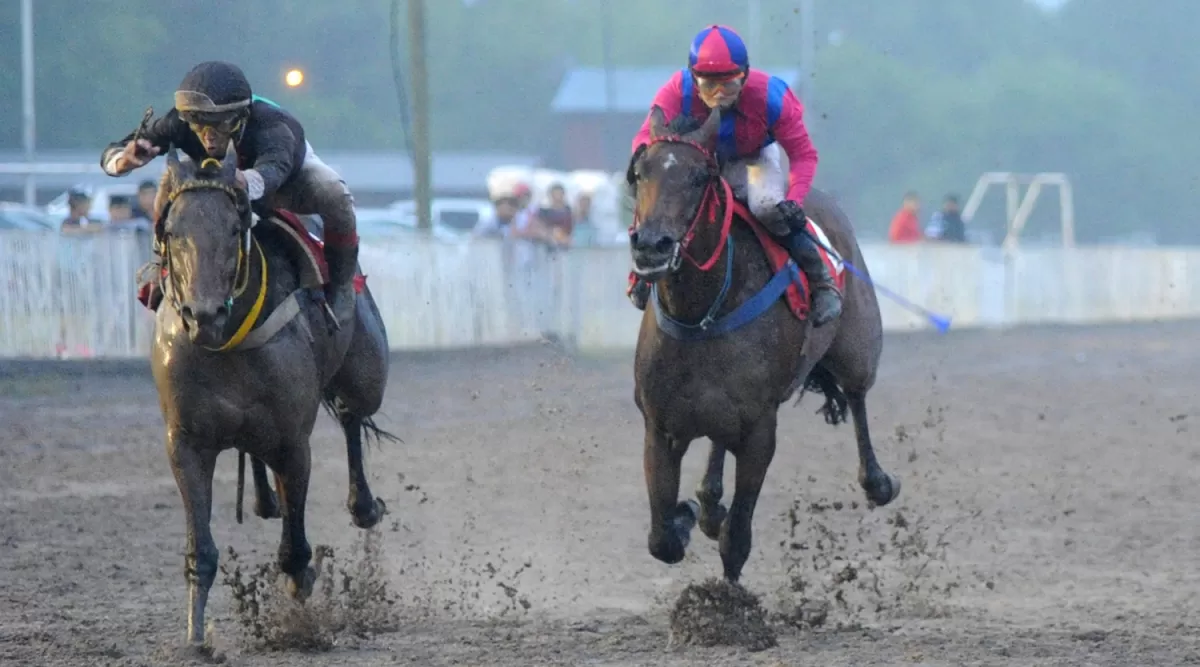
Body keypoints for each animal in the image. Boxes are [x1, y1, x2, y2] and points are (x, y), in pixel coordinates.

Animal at [148, 143, 393, 647]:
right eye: (173, 231)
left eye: (233, 228)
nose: (203, 315)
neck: (227, 342)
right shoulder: (185, 442)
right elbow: (200, 549)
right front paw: (196, 637)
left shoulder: (292, 442)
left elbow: (295, 547)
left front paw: (300, 588)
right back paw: (264, 499)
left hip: (367, 374)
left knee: (351, 416)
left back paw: (363, 506)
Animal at [628, 109, 902, 583]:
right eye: (640, 173)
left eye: (699, 177)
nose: (651, 244)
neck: (702, 313)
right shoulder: (659, 426)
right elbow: (661, 538)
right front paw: (685, 514)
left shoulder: (759, 428)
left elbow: (736, 538)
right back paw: (708, 501)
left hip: (858, 348)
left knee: (857, 396)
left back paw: (878, 482)